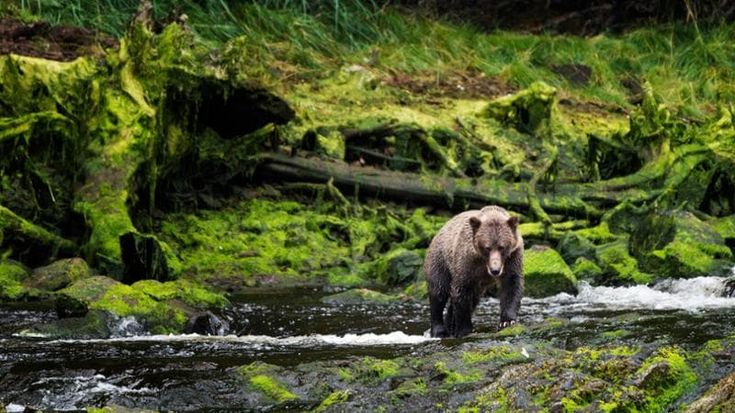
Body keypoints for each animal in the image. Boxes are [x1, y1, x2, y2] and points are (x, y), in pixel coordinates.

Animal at [424, 205, 524, 338]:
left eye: (502, 247)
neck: (483, 263)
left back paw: (450, 325)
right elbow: (461, 291)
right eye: (487, 248)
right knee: (438, 293)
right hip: (440, 261)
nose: (495, 270)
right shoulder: (466, 262)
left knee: (472, 299)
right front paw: (464, 330)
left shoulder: (512, 257)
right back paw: (439, 330)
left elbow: (512, 285)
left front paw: (507, 321)